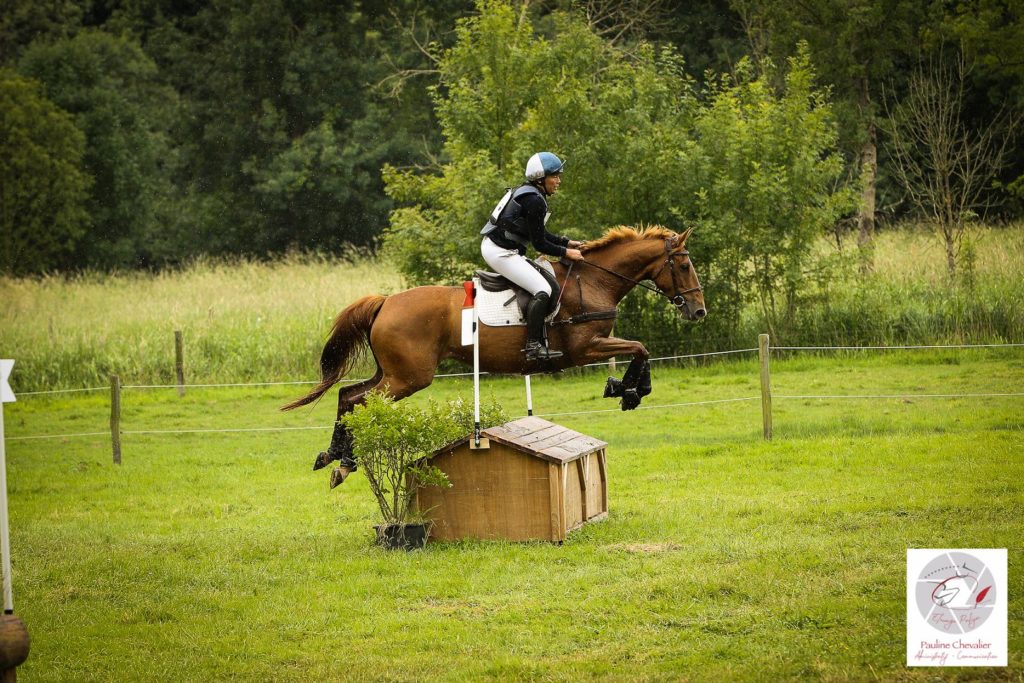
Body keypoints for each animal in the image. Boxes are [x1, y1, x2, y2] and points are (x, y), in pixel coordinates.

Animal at [284, 225, 708, 485]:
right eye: (685, 264)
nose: (698, 311)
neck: (593, 280)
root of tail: (386, 301)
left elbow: (640, 350)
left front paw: (625, 387)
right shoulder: (584, 349)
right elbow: (640, 349)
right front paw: (629, 391)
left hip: (392, 372)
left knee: (348, 395)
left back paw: (332, 457)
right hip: (409, 377)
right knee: (361, 401)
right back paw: (344, 463)